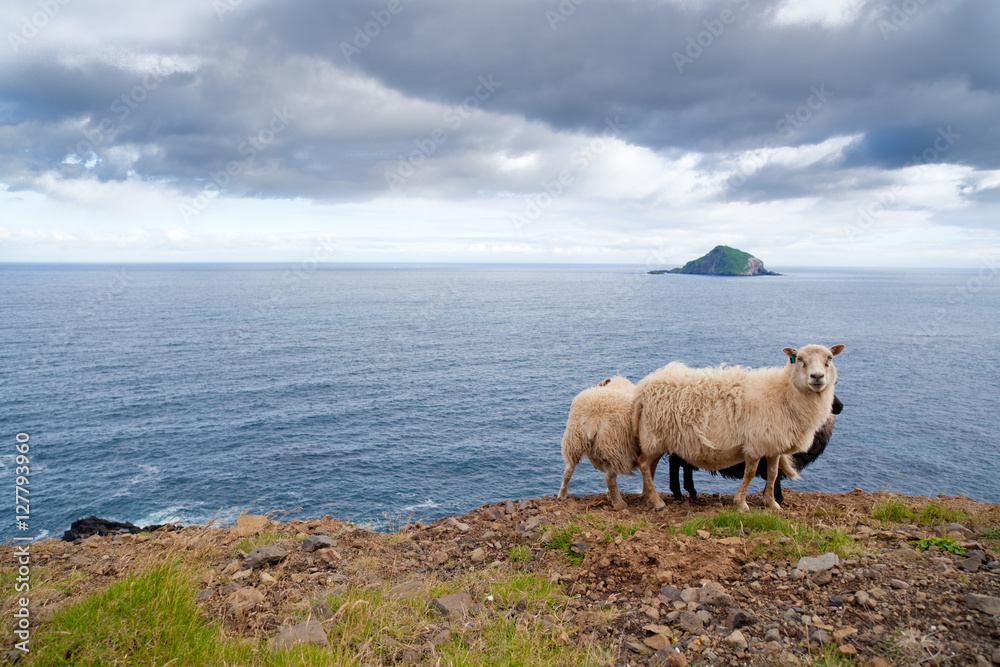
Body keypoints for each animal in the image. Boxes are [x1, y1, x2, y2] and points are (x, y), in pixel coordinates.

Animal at [556, 376, 640, 512]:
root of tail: (595, 416)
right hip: (617, 448)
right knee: (609, 478)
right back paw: (619, 503)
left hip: (574, 440)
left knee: (568, 470)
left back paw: (562, 495)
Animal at [672, 394, 844, 504]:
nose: (840, 406)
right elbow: (775, 477)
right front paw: (777, 498)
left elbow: (773, 476)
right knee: (676, 464)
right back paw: (679, 493)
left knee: (684, 466)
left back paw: (690, 493)